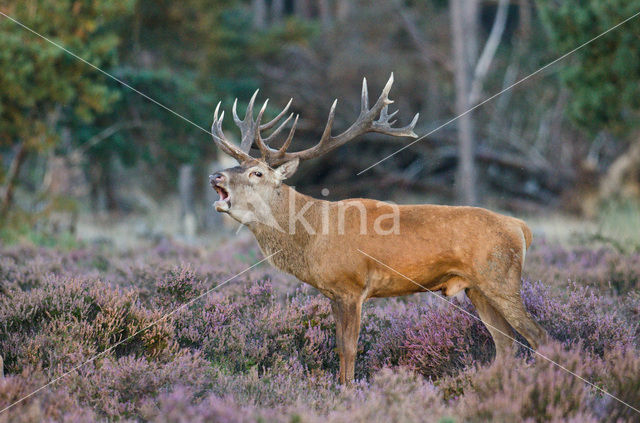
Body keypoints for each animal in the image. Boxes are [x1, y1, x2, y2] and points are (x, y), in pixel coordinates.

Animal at [208, 74, 548, 386]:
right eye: (236, 166)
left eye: (257, 172)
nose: (215, 176)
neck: (312, 237)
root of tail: (521, 227)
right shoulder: (332, 293)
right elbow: (339, 347)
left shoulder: (351, 286)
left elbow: (349, 349)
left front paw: (347, 392)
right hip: (477, 288)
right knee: (506, 343)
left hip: (500, 278)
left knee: (538, 335)